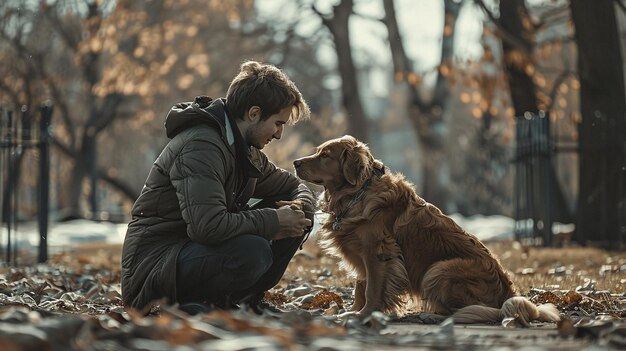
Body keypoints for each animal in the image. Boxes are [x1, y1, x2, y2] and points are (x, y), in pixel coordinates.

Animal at [294, 135, 560, 328]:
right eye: (319, 151)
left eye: (325, 155)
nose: (295, 162)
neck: (357, 193)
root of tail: (509, 292)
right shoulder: (362, 257)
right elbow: (360, 287)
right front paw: (354, 311)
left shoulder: (377, 253)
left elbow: (371, 290)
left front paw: (364, 315)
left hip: (438, 270)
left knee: (476, 312)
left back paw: (434, 317)